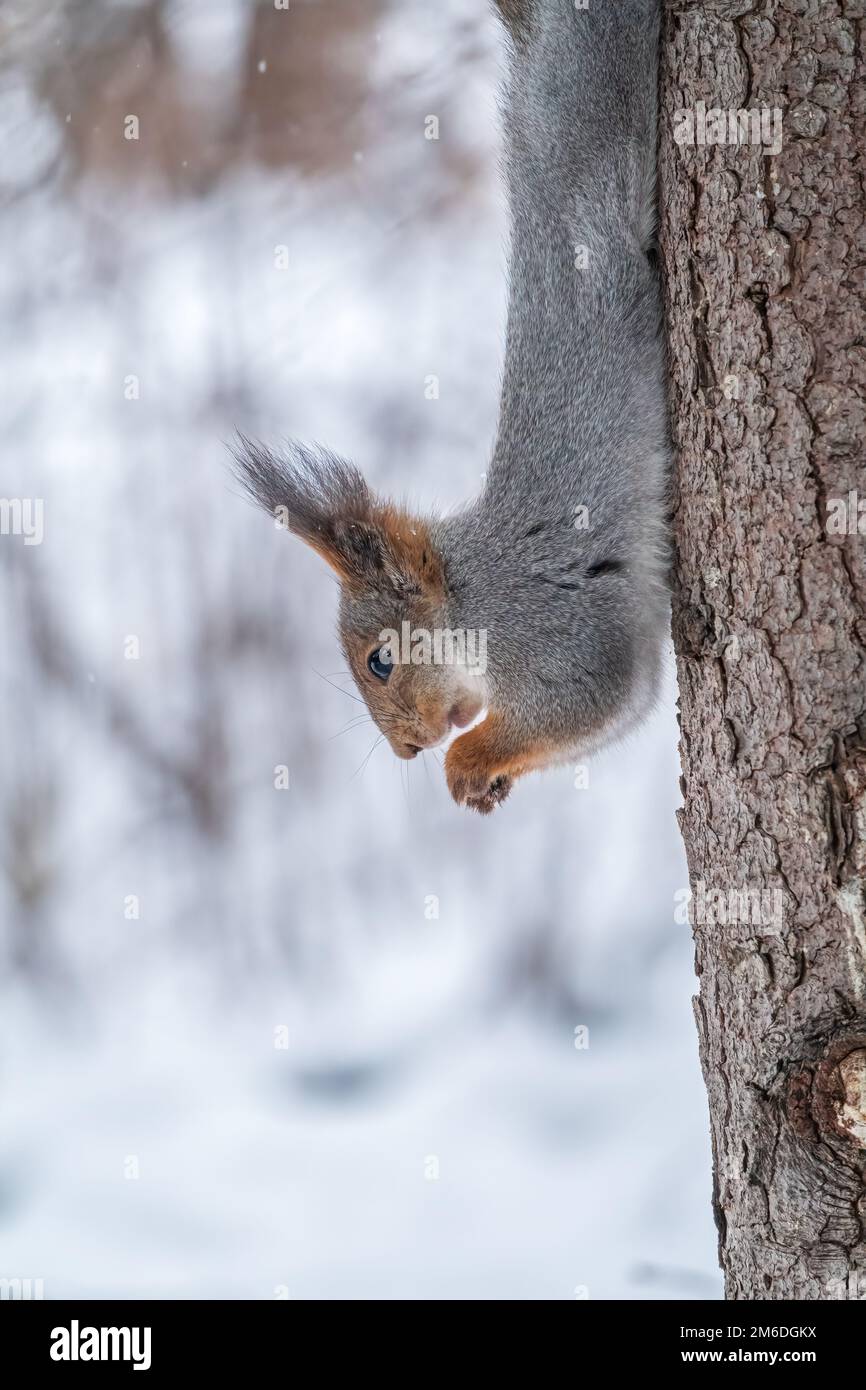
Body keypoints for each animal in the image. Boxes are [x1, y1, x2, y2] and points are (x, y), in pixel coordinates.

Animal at [233, 0, 670, 814]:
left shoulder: (555, 633)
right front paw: (486, 780)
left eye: (380, 661)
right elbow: (611, 720)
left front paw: (467, 761)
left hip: (598, 107)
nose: (406, 750)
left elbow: (593, 699)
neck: (471, 596)